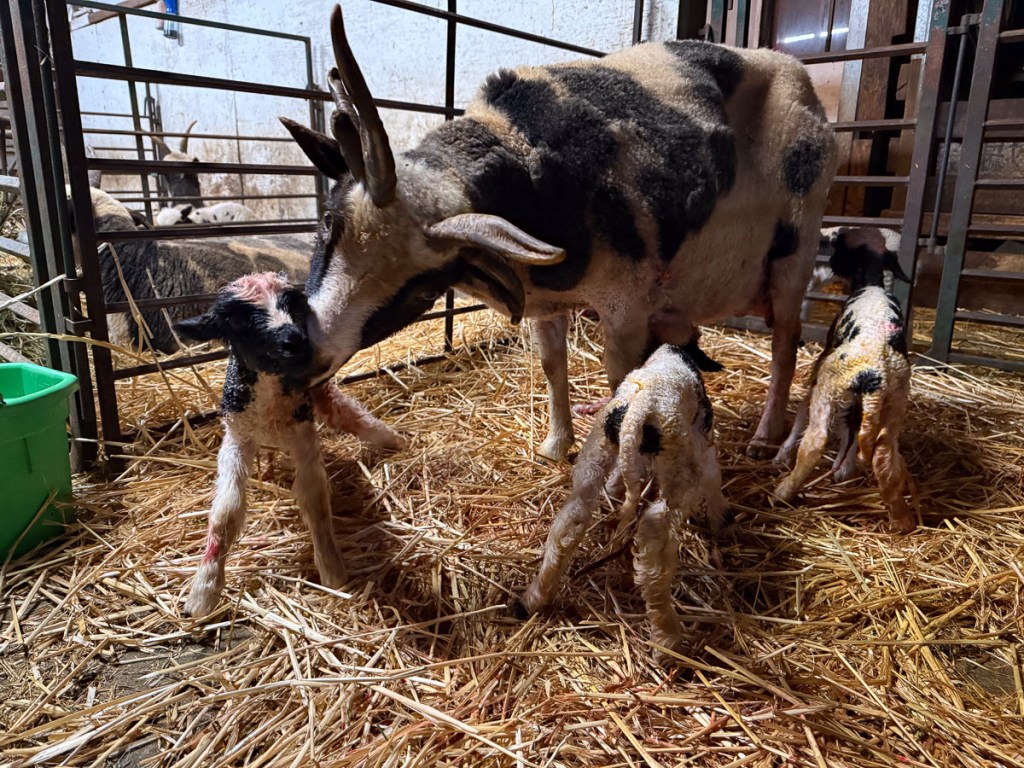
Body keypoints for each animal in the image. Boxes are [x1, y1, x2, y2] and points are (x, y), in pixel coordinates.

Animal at [175, 272, 405, 617]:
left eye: (295, 305)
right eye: (236, 319)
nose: (295, 341)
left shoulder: (303, 437)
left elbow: (315, 500)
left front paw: (331, 569)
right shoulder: (237, 439)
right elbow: (226, 512)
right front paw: (204, 591)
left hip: (321, 395)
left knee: (351, 416)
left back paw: (394, 440)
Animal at [280, 5, 836, 462]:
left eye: (423, 285)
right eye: (328, 221)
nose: (306, 354)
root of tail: (800, 81)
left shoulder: (626, 304)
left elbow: (621, 378)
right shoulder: (545, 304)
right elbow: (552, 364)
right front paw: (555, 446)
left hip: (796, 250)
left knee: (786, 345)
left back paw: (767, 438)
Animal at [516, 344, 727, 661]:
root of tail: (636, 411)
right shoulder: (703, 434)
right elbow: (714, 475)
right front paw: (721, 520)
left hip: (595, 453)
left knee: (571, 522)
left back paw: (535, 597)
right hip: (678, 469)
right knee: (653, 534)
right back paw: (666, 640)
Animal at [774, 227, 915, 533]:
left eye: (840, 243)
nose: (829, 263)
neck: (873, 282)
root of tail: (877, 372)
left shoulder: (820, 371)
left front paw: (782, 454)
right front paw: (845, 467)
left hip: (828, 387)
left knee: (815, 441)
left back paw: (783, 491)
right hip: (895, 406)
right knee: (883, 456)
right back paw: (901, 519)